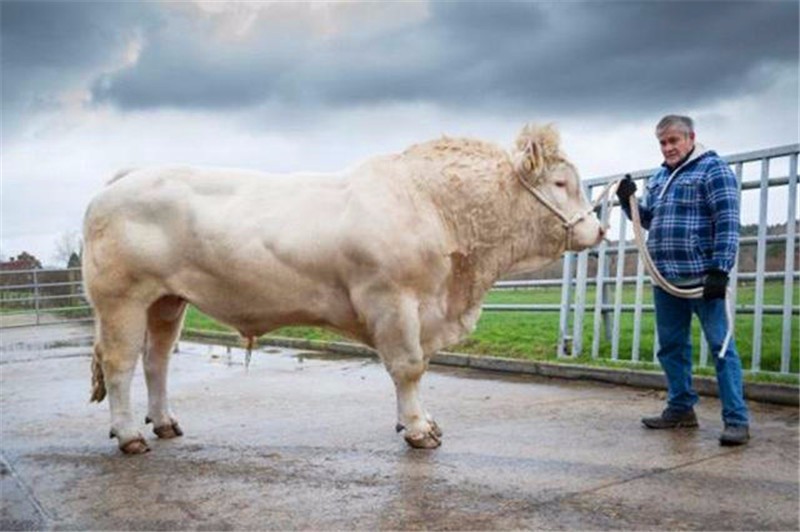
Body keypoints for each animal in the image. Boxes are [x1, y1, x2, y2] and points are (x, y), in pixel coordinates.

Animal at [84, 124, 604, 454]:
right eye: (561, 182)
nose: (597, 230)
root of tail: (126, 177)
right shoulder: (393, 299)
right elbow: (409, 367)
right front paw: (418, 429)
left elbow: (416, 367)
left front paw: (418, 419)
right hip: (121, 298)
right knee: (120, 363)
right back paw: (129, 435)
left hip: (167, 301)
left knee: (156, 361)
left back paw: (164, 423)